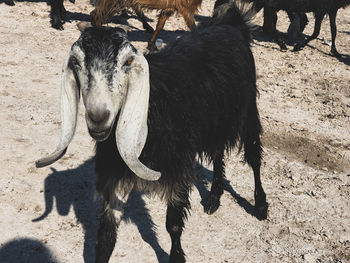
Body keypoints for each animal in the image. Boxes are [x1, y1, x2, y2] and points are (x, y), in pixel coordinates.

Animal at [36, 1, 268, 262]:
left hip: (248, 110)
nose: (98, 116)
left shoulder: (177, 167)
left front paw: (177, 256)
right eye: (75, 61)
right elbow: (106, 236)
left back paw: (260, 205)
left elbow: (173, 225)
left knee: (254, 156)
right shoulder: (115, 174)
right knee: (218, 153)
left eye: (128, 62)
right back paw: (213, 198)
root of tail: (231, 25)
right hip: (215, 120)